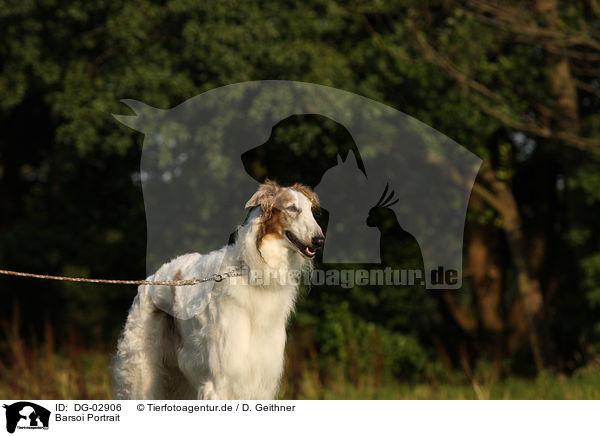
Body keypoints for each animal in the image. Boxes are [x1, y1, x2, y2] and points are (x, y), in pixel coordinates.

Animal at [115, 180, 326, 398]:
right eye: (292, 208)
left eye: (312, 211)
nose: (320, 240)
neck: (256, 274)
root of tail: (152, 278)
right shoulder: (221, 380)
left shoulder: (261, 379)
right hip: (142, 372)